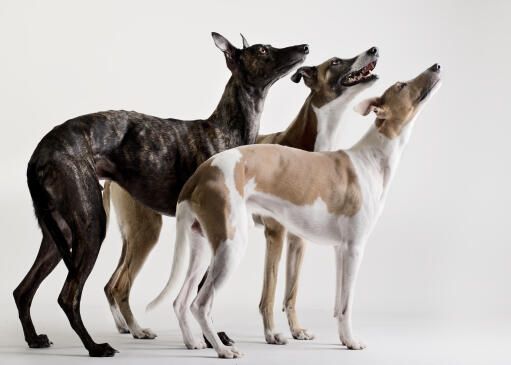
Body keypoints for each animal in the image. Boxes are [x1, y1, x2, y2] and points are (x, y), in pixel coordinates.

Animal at [14, 32, 308, 356]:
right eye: (263, 50)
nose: (305, 47)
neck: (225, 130)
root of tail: (39, 153)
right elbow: (202, 295)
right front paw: (212, 340)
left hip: (59, 233)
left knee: (22, 289)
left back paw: (34, 338)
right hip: (91, 225)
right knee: (68, 295)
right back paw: (95, 346)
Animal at [154, 64, 442, 356]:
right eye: (401, 85)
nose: (436, 66)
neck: (370, 158)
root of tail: (202, 172)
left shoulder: (340, 250)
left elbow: (338, 304)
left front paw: (343, 338)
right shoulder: (354, 248)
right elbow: (347, 305)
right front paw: (352, 341)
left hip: (202, 246)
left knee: (180, 300)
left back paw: (193, 342)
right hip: (230, 246)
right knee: (199, 304)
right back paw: (223, 350)